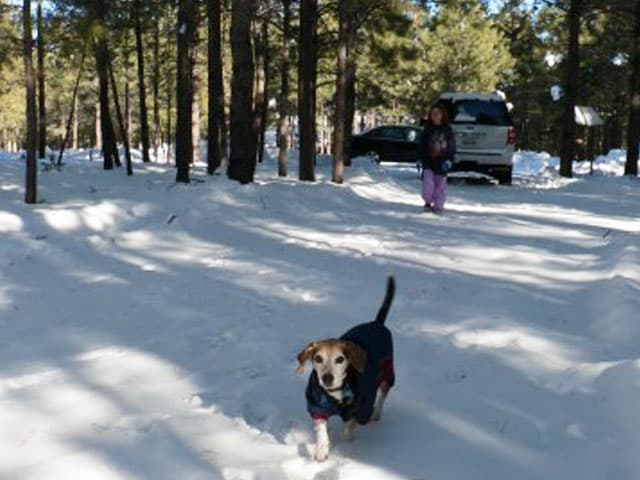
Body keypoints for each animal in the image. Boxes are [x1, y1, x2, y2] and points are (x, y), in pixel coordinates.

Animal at [296, 278, 396, 462]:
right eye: (318, 358)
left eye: (340, 359)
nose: (327, 378)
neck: (334, 393)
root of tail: (376, 323)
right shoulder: (317, 406)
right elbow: (321, 430)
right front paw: (322, 449)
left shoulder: (360, 408)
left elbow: (350, 427)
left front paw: (345, 445)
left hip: (387, 371)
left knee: (383, 395)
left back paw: (376, 414)